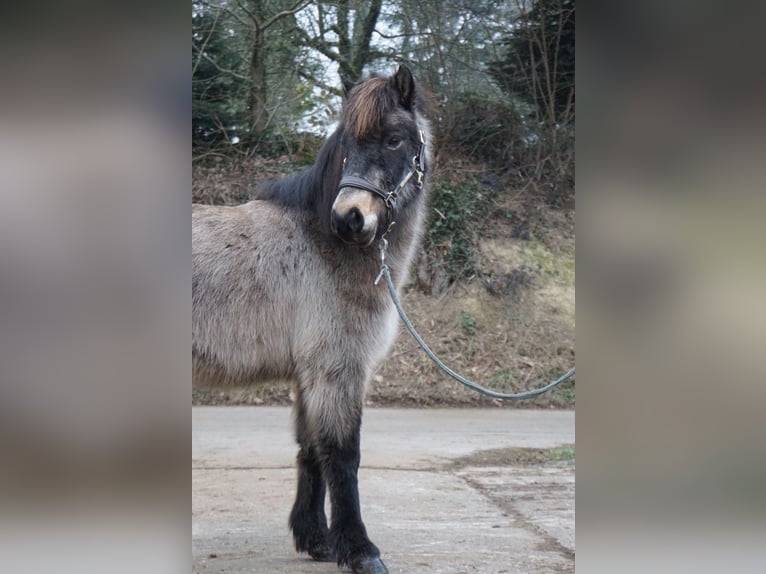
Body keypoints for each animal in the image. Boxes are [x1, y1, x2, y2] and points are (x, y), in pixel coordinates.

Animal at [192, 67, 432, 574]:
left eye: (395, 140)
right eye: (346, 142)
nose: (349, 218)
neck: (322, 242)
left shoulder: (311, 375)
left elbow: (312, 452)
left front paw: (317, 541)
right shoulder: (337, 370)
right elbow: (342, 455)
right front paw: (360, 550)